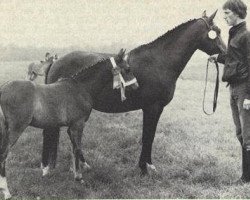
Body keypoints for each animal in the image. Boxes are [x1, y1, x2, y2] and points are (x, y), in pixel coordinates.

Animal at [0, 48, 138, 198]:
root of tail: (3, 88)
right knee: (3, 155)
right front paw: (79, 177)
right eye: (128, 69)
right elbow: (77, 148)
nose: (136, 86)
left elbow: (73, 148)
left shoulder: (71, 127)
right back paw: (6, 191)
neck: (81, 87)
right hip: (15, 129)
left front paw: (75, 173)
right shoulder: (78, 124)